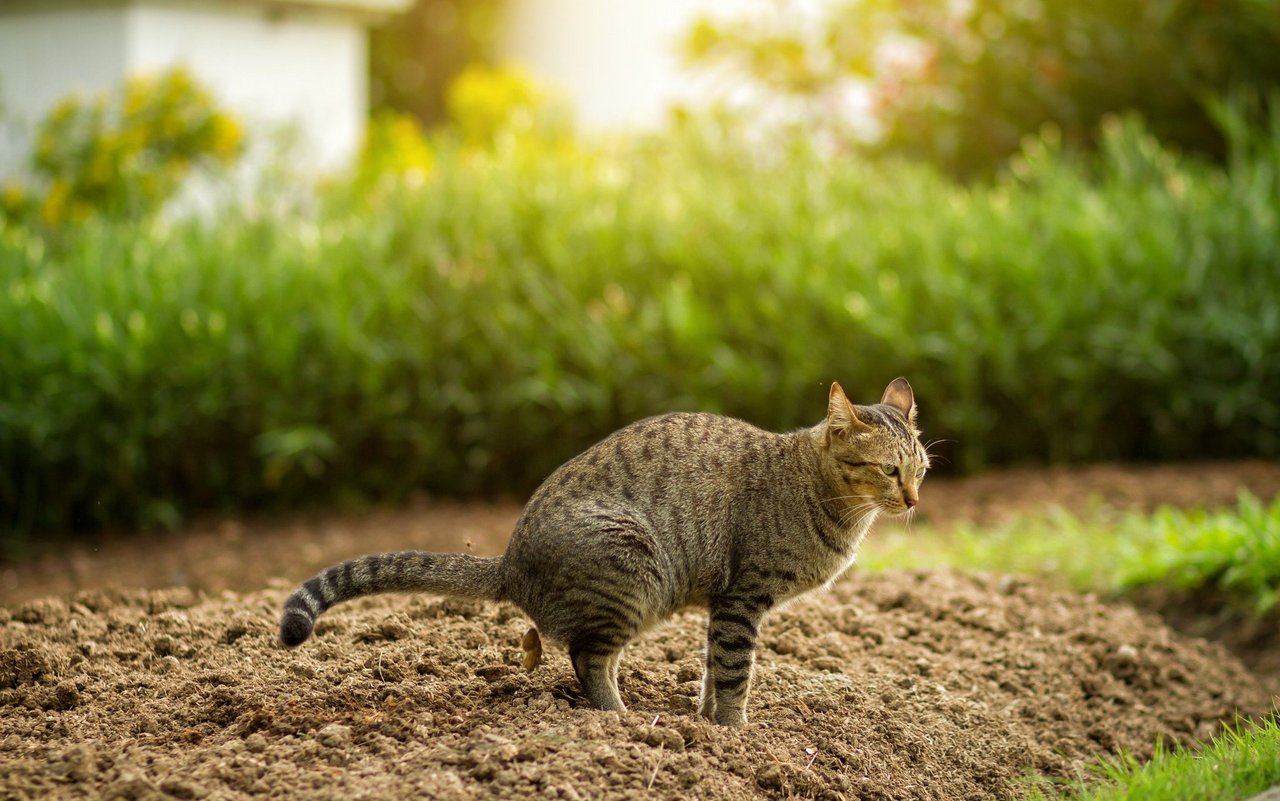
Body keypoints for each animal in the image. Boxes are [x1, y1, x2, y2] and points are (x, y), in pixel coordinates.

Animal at [277, 378, 931, 721]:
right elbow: (733, 672)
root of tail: (509, 562)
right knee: (588, 658)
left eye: (922, 467)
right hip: (632, 572)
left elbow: (710, 670)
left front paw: (703, 722)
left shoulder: (724, 606)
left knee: (597, 655)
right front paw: (733, 733)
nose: (914, 500)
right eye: (888, 470)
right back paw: (619, 721)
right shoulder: (742, 600)